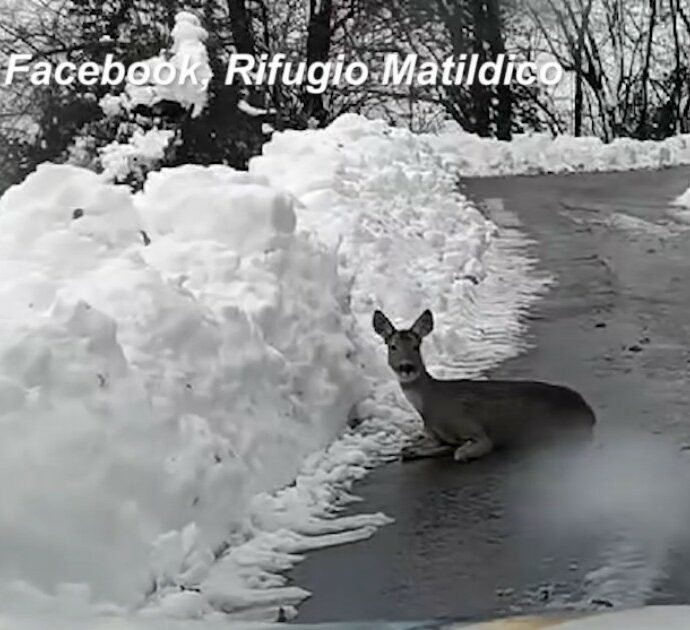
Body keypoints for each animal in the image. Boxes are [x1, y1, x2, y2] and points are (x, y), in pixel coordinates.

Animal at [370, 312, 592, 464]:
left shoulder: (475, 430)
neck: (432, 405)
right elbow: (412, 448)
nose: (406, 367)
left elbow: (459, 452)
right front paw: (413, 450)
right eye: (392, 346)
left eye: (417, 346)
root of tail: (589, 411)